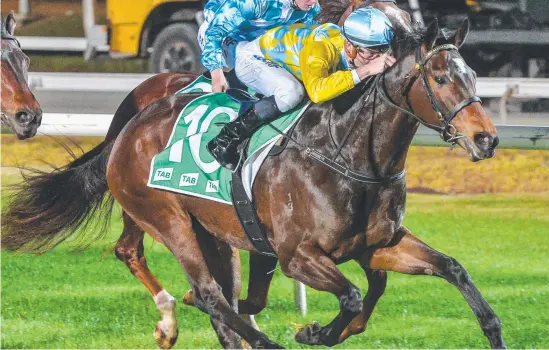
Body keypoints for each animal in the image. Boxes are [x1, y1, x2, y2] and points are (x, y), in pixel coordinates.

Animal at [2, 17, 504, 350]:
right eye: (441, 77)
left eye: (473, 75)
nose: (487, 138)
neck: (351, 155)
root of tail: (128, 128)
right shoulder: (297, 256)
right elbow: (353, 295)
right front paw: (312, 330)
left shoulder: (379, 244)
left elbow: (447, 269)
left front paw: (493, 329)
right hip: (166, 219)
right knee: (209, 294)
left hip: (213, 232)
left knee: (221, 298)